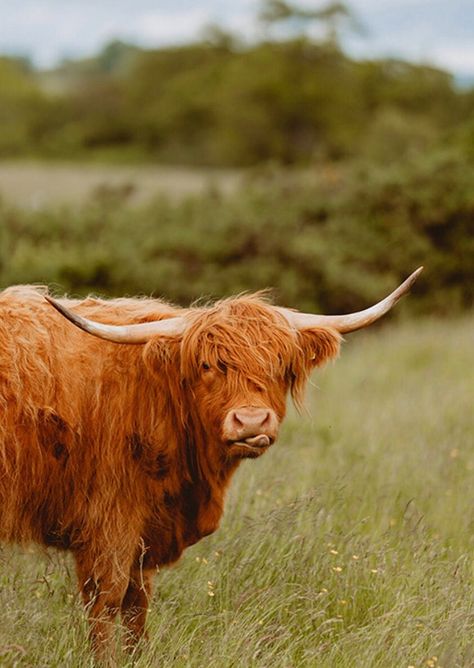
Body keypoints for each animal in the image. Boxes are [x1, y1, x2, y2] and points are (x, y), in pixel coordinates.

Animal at [0, 268, 422, 656]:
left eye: (280, 363)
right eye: (208, 365)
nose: (251, 421)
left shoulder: (143, 533)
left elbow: (137, 606)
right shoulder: (109, 523)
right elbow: (107, 602)